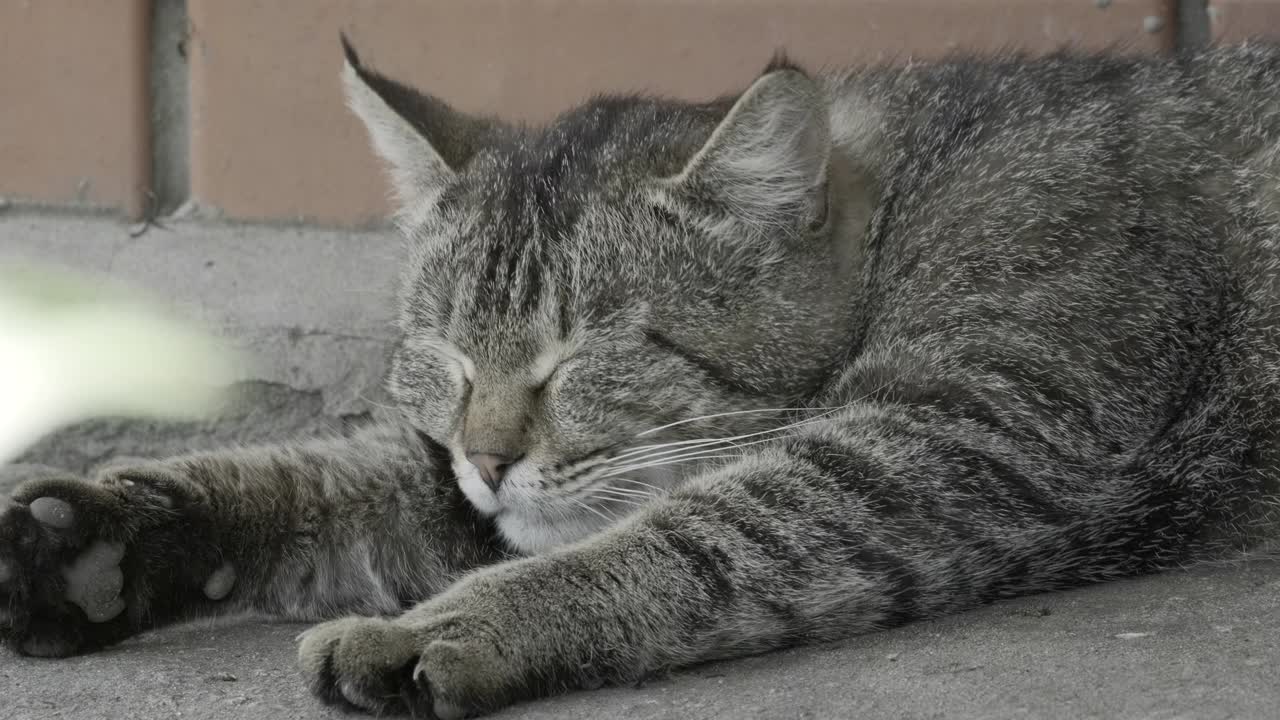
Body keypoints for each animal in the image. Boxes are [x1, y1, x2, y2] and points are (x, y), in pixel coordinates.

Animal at [2, 35, 1280, 717]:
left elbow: (689, 533)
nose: (489, 457)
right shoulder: (444, 486)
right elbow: (316, 479)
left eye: (585, 356)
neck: (912, 201)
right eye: (443, 354)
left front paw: (455, 622)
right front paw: (100, 535)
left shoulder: (971, 430)